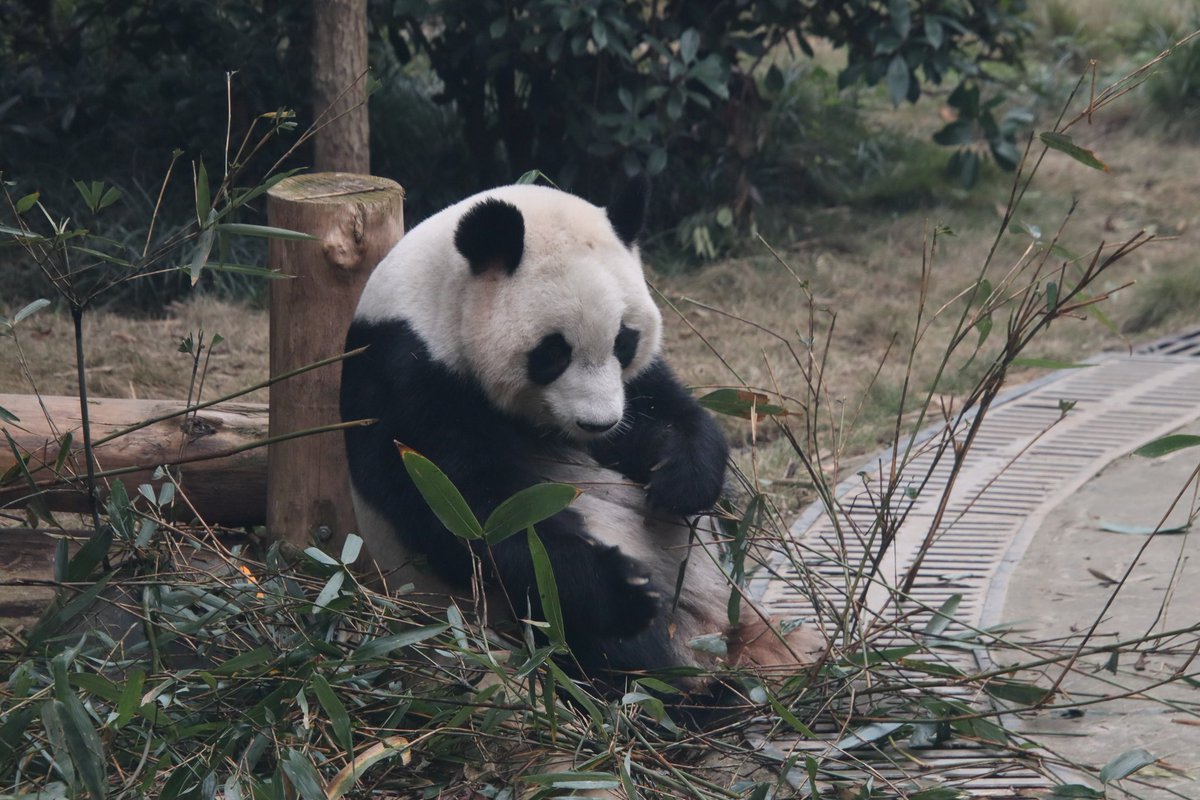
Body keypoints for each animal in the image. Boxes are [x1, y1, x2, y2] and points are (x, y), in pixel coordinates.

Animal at [340, 179, 820, 689]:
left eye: (624, 341)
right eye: (553, 353)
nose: (598, 424)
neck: (431, 306)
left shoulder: (630, 390)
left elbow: (663, 412)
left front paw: (680, 483)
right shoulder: (405, 379)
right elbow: (476, 515)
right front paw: (624, 588)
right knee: (592, 643)